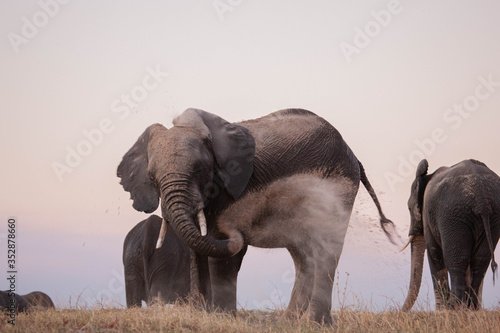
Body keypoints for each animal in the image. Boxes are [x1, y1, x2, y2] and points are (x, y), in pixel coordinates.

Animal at [402, 160, 500, 310]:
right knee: (480, 262)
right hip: (492, 217)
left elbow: (435, 255)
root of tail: (481, 199)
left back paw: (455, 308)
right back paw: (471, 309)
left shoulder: (428, 215)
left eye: (408, 208)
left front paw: (443, 311)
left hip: (453, 217)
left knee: (456, 262)